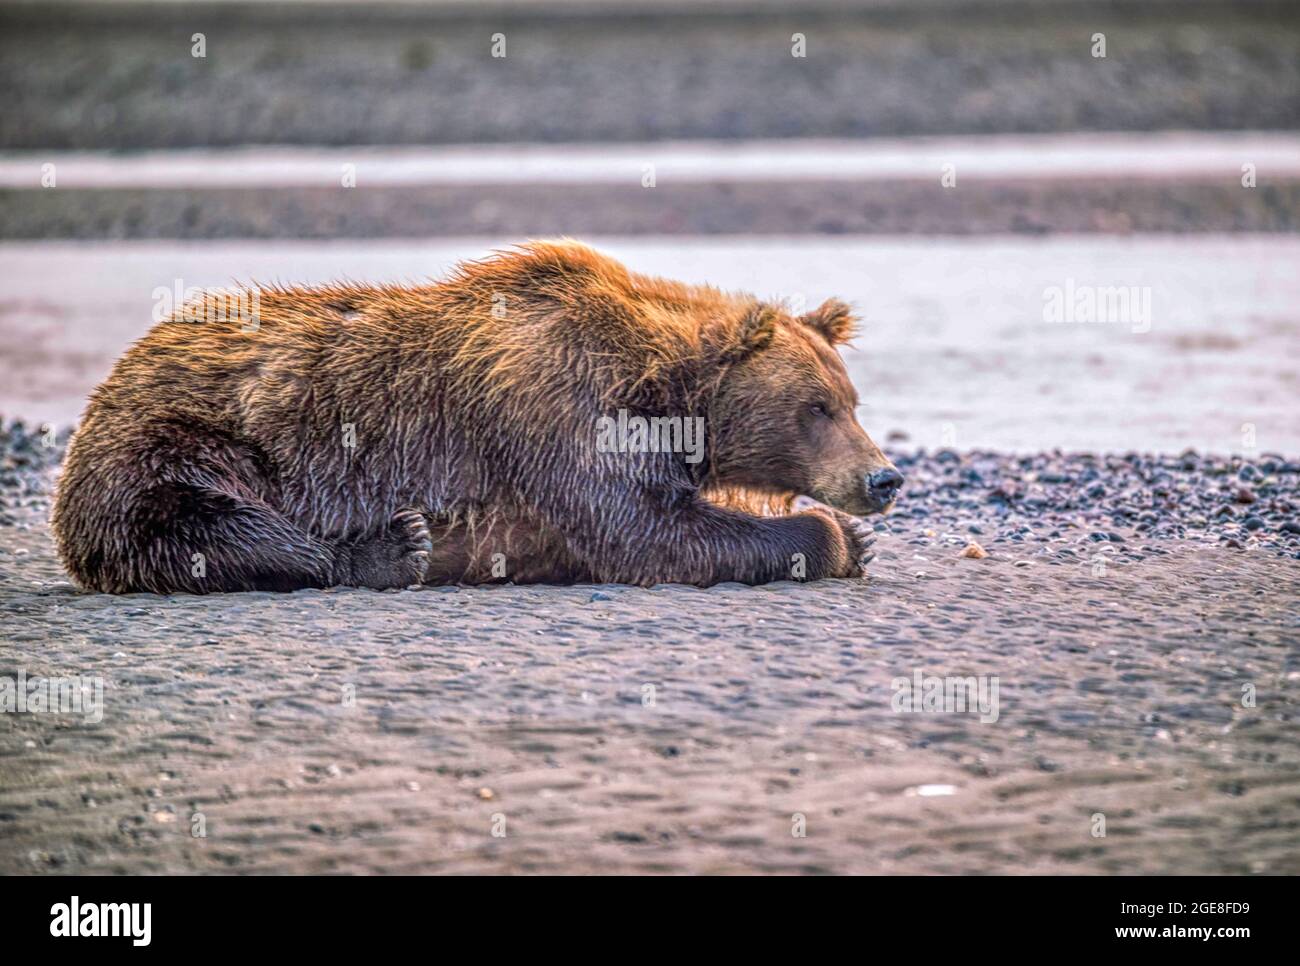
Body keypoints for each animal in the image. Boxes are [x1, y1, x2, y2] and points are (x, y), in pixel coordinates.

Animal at [50, 243, 904, 590]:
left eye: (852, 400)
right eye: (816, 407)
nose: (884, 478)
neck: (663, 393)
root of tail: (119, 367)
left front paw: (851, 533)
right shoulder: (556, 405)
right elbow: (647, 532)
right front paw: (825, 536)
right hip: (180, 441)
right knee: (212, 522)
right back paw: (393, 548)